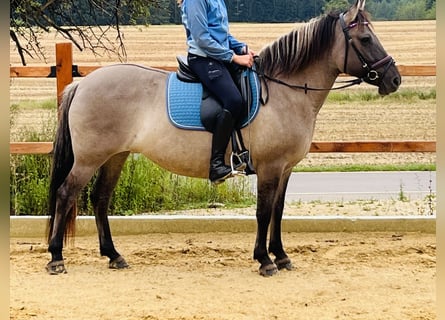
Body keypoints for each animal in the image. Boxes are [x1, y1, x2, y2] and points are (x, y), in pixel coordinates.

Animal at [45, 0, 398, 276]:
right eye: (365, 38)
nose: (394, 78)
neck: (285, 91)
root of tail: (83, 84)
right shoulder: (270, 167)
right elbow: (263, 212)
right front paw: (264, 260)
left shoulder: (285, 169)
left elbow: (279, 211)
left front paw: (282, 256)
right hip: (89, 158)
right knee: (66, 194)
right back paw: (56, 257)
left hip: (115, 156)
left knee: (100, 199)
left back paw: (114, 255)